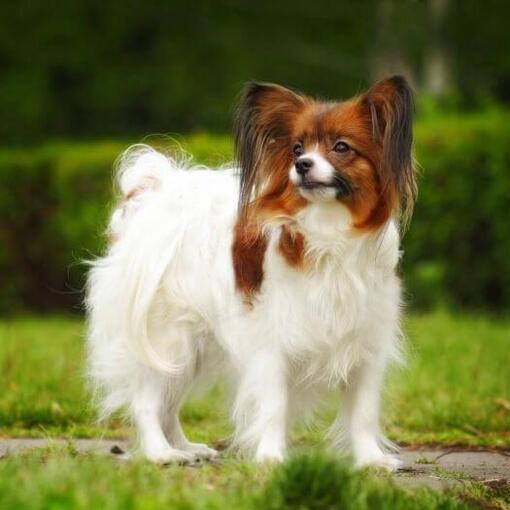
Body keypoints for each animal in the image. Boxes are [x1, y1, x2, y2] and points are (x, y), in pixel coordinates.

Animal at [86, 75, 414, 470]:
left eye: (341, 147)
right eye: (297, 148)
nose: (302, 164)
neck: (328, 234)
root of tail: (152, 199)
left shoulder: (365, 342)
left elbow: (363, 412)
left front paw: (371, 461)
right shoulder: (271, 342)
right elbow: (274, 406)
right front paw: (271, 458)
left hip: (193, 345)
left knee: (169, 402)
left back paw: (186, 447)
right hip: (168, 337)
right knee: (148, 400)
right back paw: (161, 452)